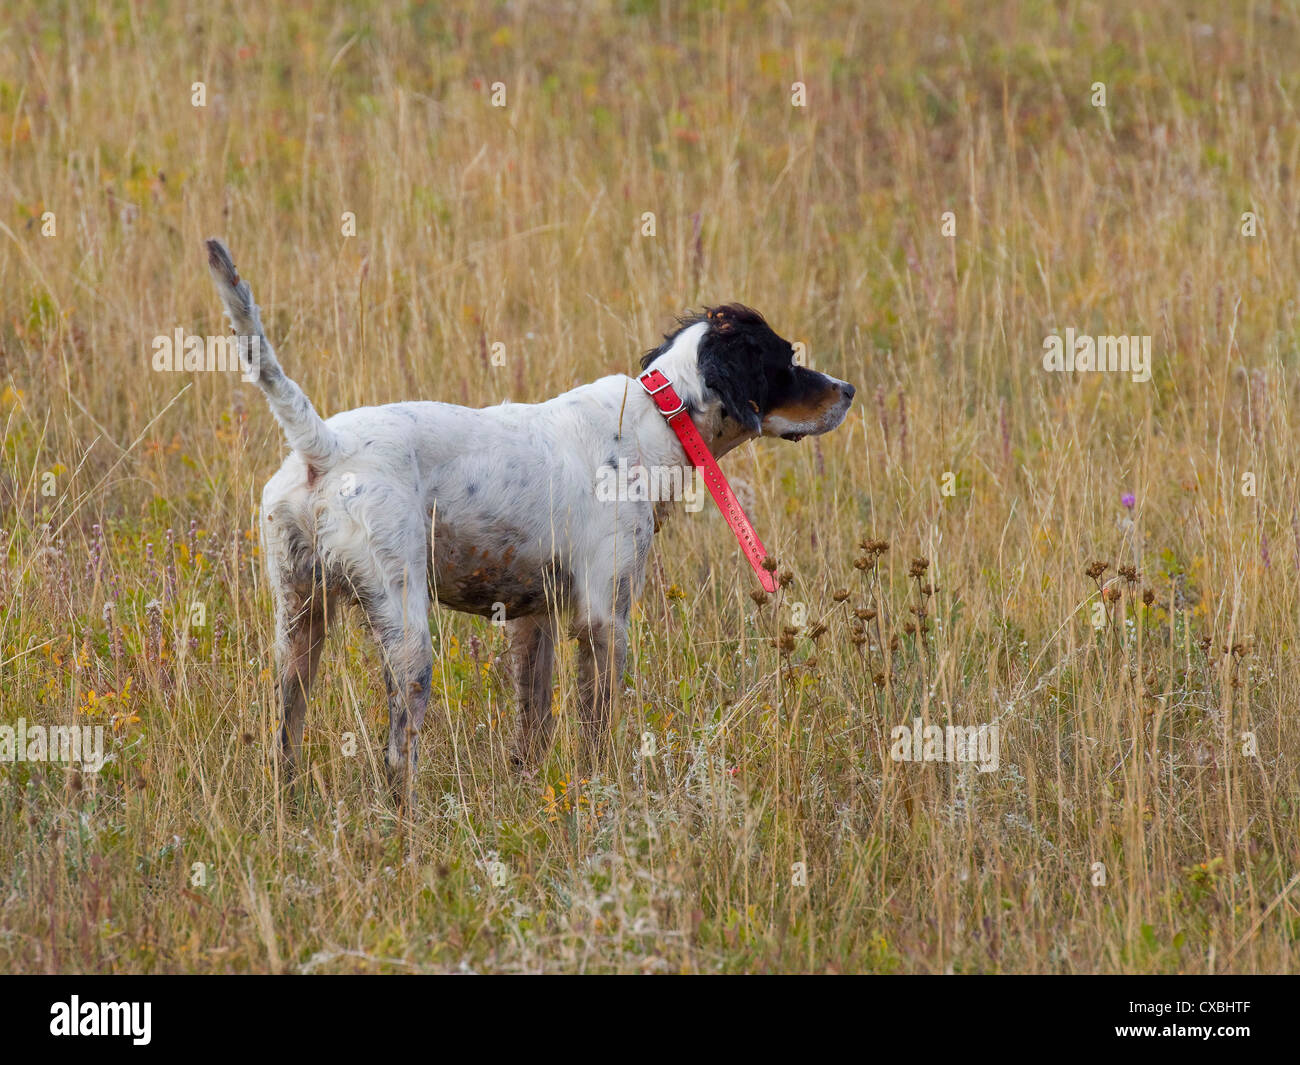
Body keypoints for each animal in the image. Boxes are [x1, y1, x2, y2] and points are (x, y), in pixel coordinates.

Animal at [202, 235, 852, 801]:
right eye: (786, 360)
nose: (847, 388)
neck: (657, 419)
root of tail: (326, 447)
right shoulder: (604, 617)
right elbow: (596, 727)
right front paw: (603, 792)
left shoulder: (533, 620)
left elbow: (533, 726)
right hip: (406, 633)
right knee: (396, 756)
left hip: (298, 624)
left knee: (284, 737)